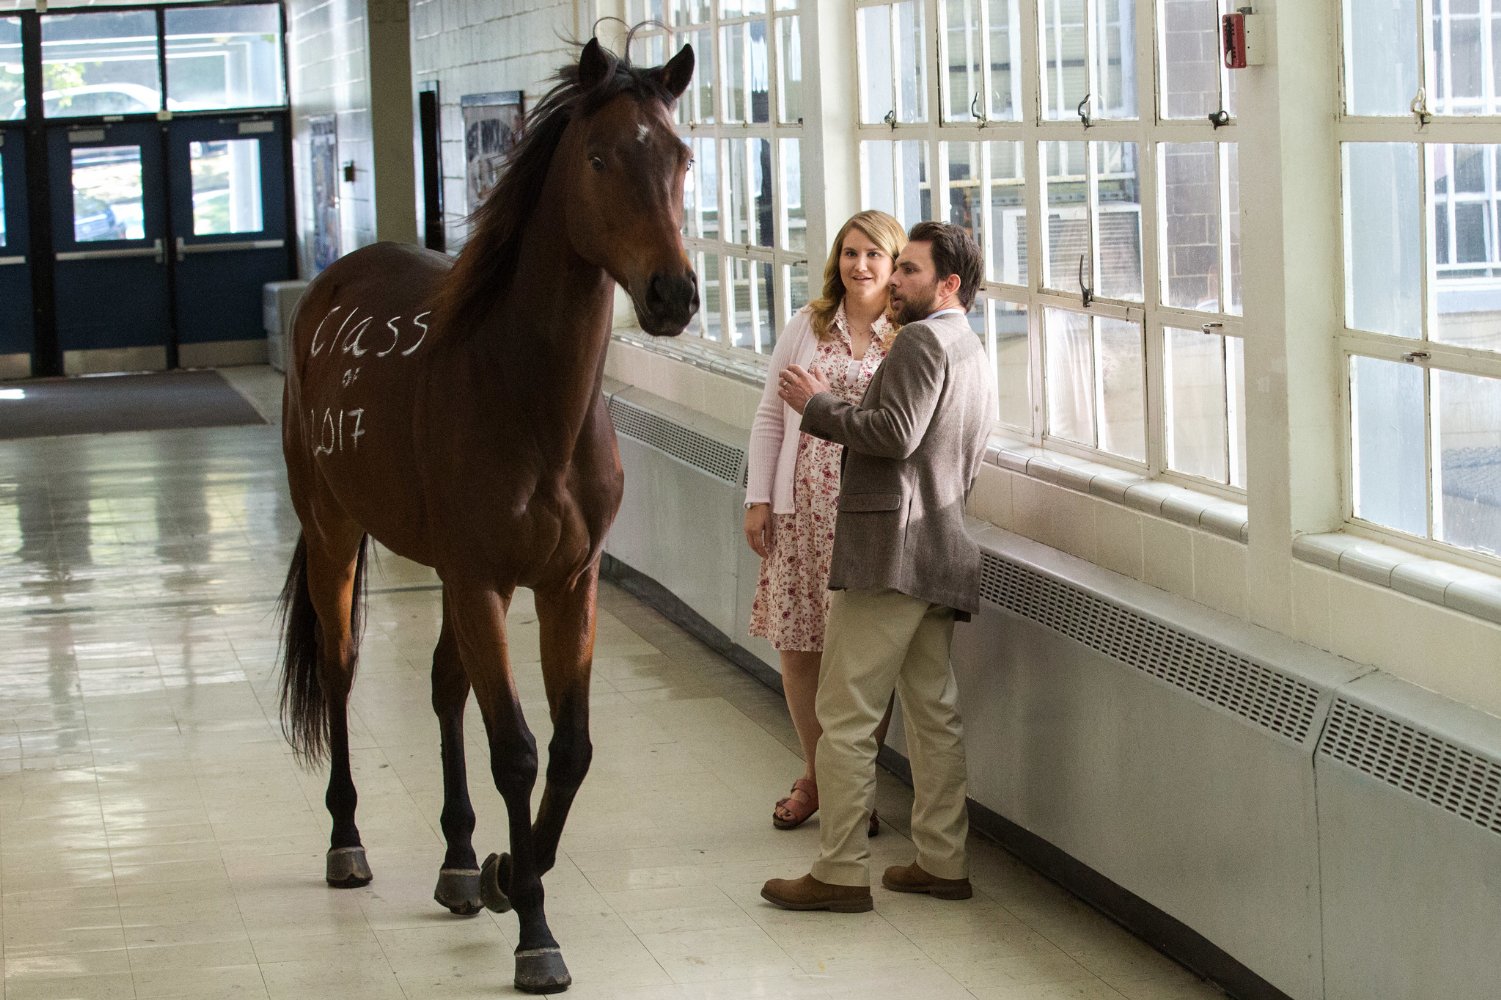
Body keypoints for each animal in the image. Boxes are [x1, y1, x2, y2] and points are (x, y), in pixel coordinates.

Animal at [276, 36, 696, 990]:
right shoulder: (480, 581)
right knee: (343, 670)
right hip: (334, 532)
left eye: (682, 156)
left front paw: (506, 871)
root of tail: (330, 287)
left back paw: (461, 861)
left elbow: (570, 750)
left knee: (441, 685)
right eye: (598, 158)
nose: (674, 294)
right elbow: (517, 750)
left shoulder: (563, 584)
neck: (527, 396)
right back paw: (347, 840)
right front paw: (534, 929)